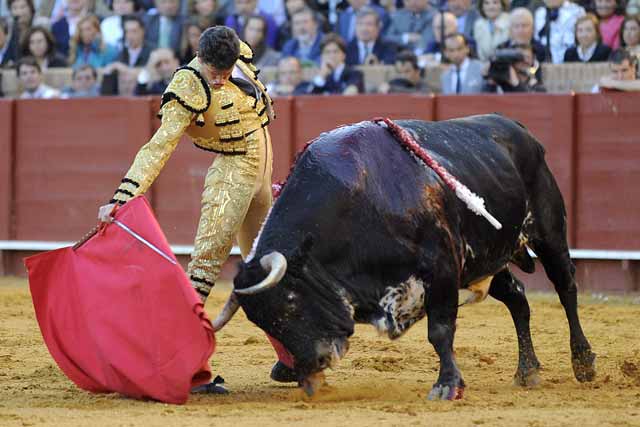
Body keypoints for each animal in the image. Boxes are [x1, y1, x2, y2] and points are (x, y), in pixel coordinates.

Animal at [229, 114, 596, 402]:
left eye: (291, 301)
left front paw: (447, 386)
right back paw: (528, 370)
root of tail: (517, 128)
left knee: (566, 286)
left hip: (549, 231)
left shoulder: (442, 268)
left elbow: (440, 331)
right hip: (486, 258)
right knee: (518, 299)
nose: (313, 364)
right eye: (261, 321)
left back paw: (583, 362)